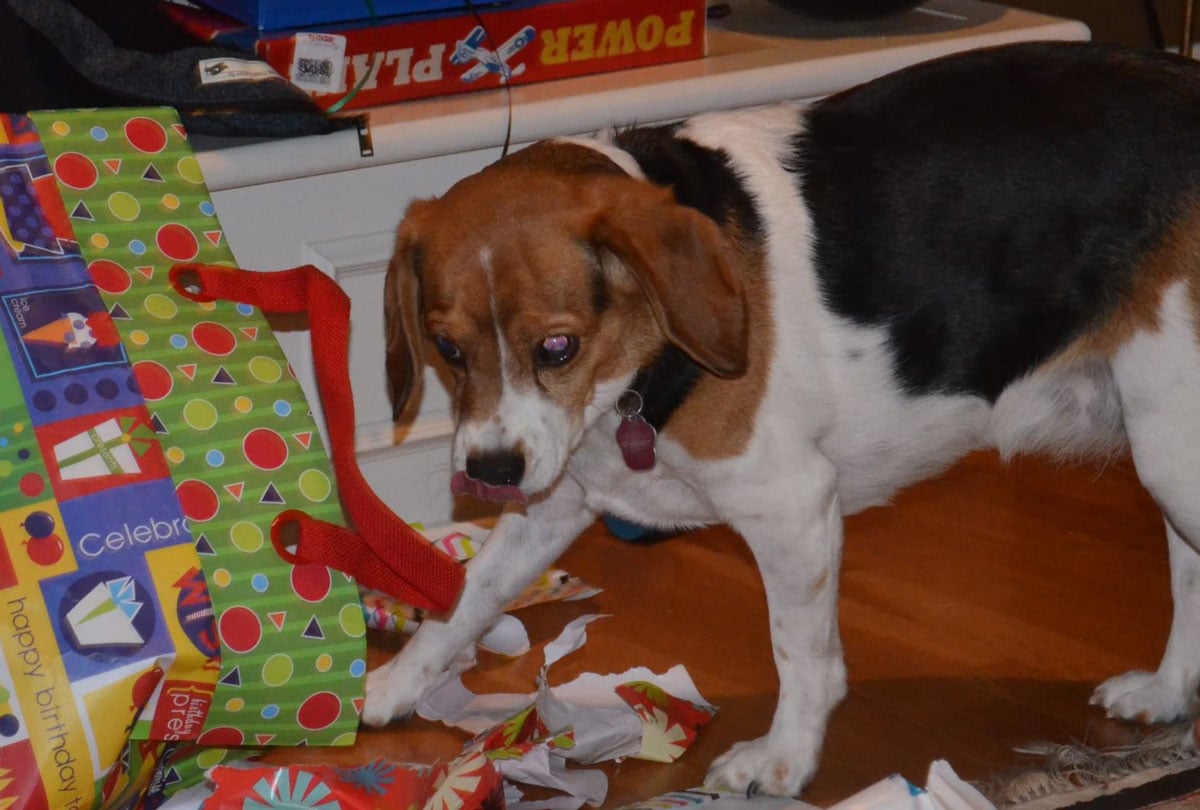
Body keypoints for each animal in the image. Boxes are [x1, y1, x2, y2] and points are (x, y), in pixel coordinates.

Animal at [362, 41, 1200, 796]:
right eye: (447, 348)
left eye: (557, 346)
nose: (489, 474)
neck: (635, 371)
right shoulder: (554, 495)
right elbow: (465, 598)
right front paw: (388, 686)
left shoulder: (792, 506)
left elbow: (801, 654)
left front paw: (784, 759)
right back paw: (1165, 692)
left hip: (1172, 453)